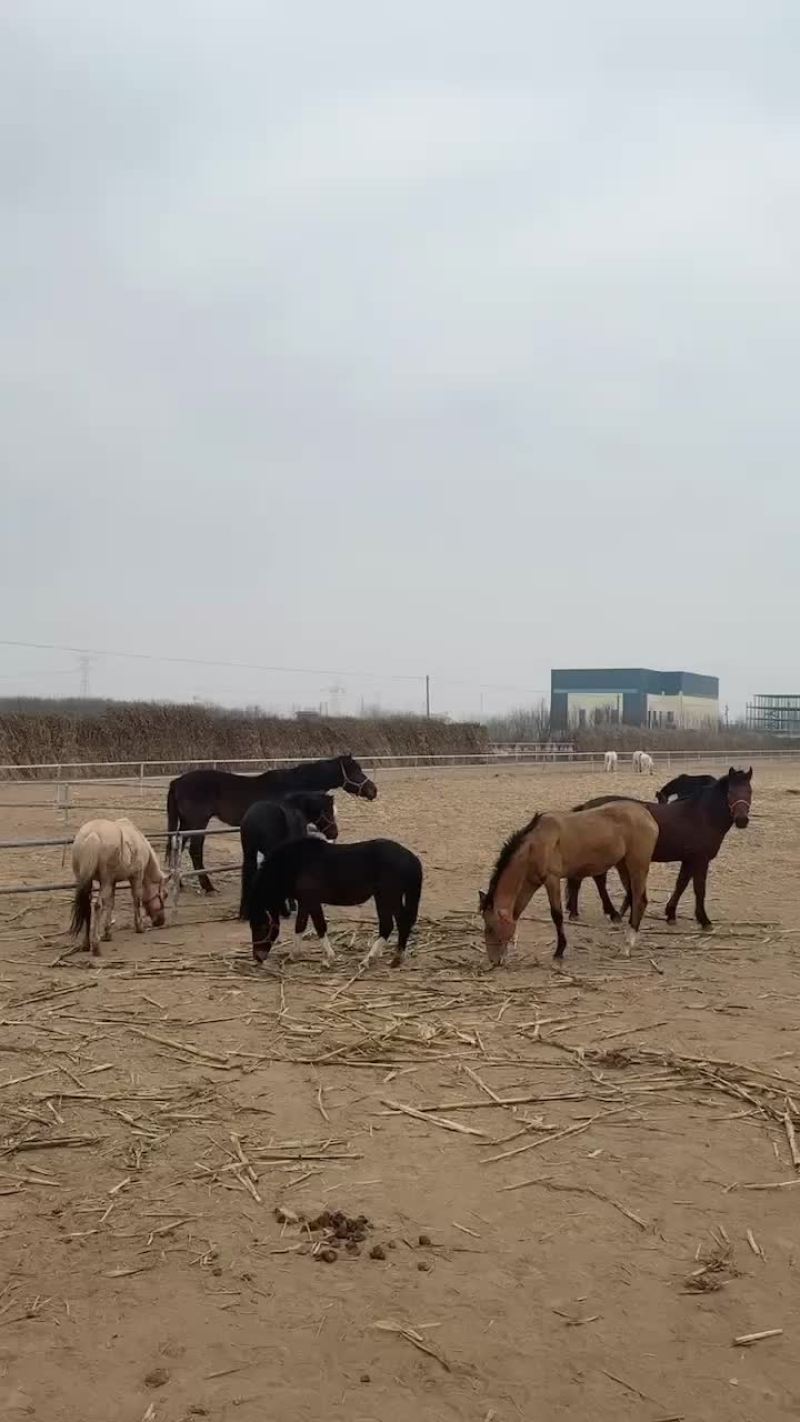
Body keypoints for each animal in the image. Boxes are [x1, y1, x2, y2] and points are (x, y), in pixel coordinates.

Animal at [70, 818, 169, 956]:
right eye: (165, 895)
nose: (161, 921)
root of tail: (92, 835)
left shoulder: (113, 881)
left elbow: (110, 904)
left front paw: (107, 934)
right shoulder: (136, 877)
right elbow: (136, 900)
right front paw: (139, 927)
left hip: (86, 881)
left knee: (87, 907)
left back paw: (86, 944)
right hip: (105, 881)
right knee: (97, 905)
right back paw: (95, 946)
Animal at [166, 753, 377, 892]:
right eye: (356, 771)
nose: (373, 790)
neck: (293, 788)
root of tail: (177, 781)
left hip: (186, 824)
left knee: (179, 847)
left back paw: (180, 884)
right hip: (197, 823)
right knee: (195, 851)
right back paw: (207, 886)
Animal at [247, 836, 423, 970]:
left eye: (261, 927)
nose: (258, 957)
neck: (297, 863)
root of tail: (411, 858)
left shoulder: (311, 901)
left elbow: (319, 926)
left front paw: (328, 959)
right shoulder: (305, 902)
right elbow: (300, 926)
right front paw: (293, 955)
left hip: (388, 897)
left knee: (397, 923)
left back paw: (382, 959)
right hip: (383, 897)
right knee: (391, 925)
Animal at [479, 800, 658, 964]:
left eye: (491, 928)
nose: (493, 960)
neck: (535, 845)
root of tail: (646, 814)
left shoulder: (552, 879)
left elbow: (557, 915)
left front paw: (559, 951)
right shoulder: (531, 883)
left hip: (637, 867)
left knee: (639, 901)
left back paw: (627, 946)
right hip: (623, 866)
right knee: (636, 899)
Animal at [565, 767, 753, 929]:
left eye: (749, 792)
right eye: (730, 792)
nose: (742, 820)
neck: (702, 815)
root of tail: (586, 807)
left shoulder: (689, 859)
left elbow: (681, 884)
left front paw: (671, 914)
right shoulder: (701, 859)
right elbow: (699, 889)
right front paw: (704, 920)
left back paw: (576, 911)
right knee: (598, 881)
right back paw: (611, 913)